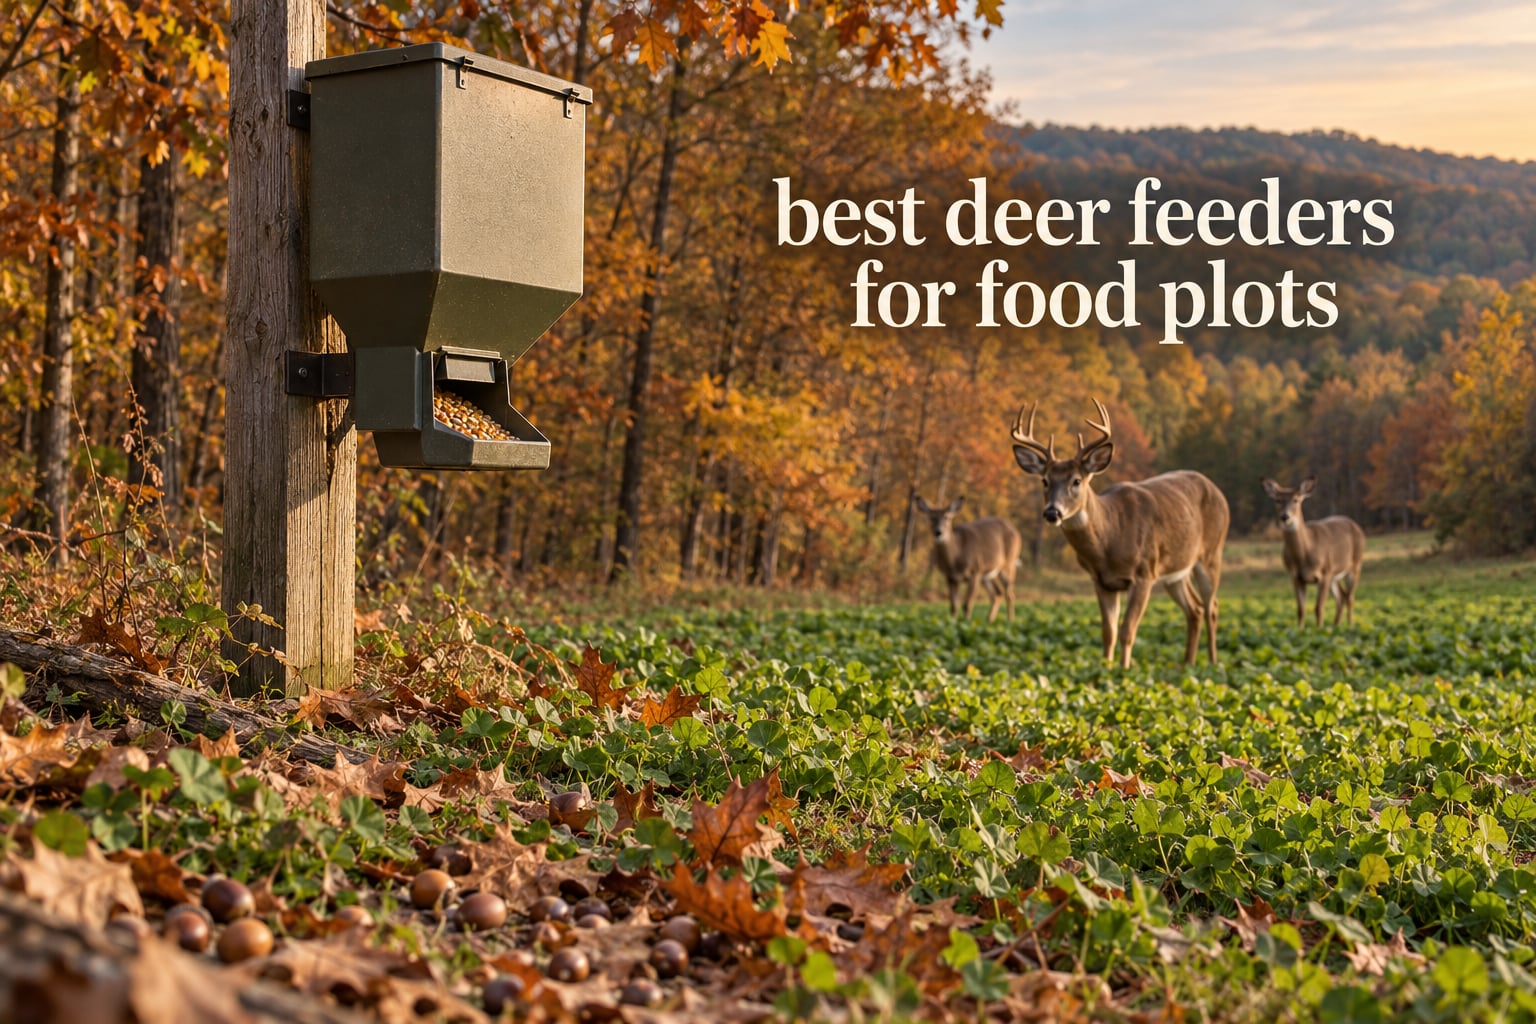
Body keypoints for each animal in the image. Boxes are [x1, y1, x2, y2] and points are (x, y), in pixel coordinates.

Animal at [1008, 399, 1230, 668]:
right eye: (1045, 480)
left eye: (1076, 480)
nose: (1052, 512)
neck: (1110, 540)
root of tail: (1217, 490)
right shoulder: (1101, 581)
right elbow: (1109, 632)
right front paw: (1106, 668)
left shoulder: (1144, 573)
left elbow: (1127, 631)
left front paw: (1124, 670)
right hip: (1175, 571)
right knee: (1195, 609)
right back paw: (1187, 664)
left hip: (1211, 553)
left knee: (1212, 607)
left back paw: (1213, 663)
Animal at [1260, 477, 1366, 628]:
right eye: (1278, 500)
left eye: (1296, 499)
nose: (1285, 516)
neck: (1304, 554)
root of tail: (1356, 526)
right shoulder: (1296, 577)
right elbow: (1301, 610)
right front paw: (1300, 629)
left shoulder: (1325, 572)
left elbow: (1318, 608)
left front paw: (1319, 629)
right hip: (1335, 576)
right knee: (1341, 597)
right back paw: (1336, 626)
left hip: (1355, 565)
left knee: (1350, 597)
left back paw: (1350, 626)